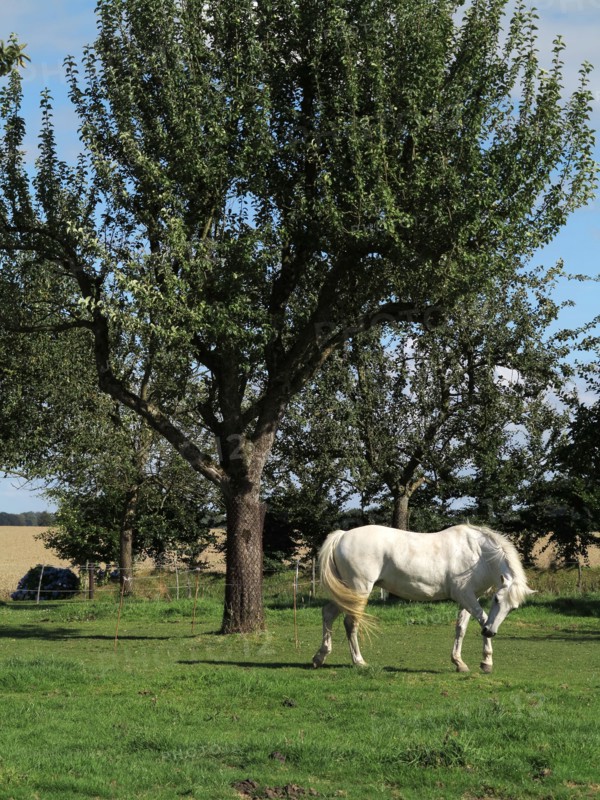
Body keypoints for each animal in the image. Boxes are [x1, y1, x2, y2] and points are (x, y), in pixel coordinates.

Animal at [312, 523, 534, 673]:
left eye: (512, 608)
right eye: (497, 599)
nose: (491, 632)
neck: (478, 554)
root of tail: (342, 536)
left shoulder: (468, 598)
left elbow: (461, 628)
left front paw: (459, 663)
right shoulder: (465, 596)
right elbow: (483, 618)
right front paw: (487, 662)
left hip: (347, 592)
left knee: (328, 613)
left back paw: (320, 657)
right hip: (359, 590)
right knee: (350, 623)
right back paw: (359, 661)